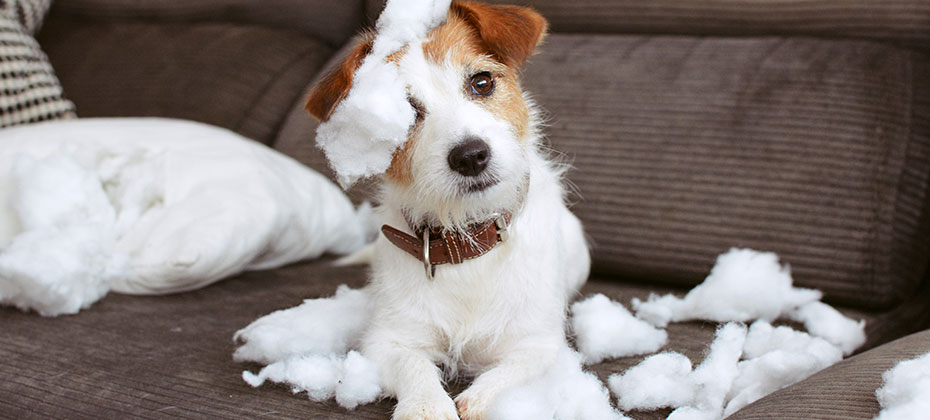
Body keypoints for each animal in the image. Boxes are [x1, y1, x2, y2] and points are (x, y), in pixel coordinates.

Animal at [306, 1, 588, 418]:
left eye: (482, 82)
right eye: (406, 113)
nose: (470, 156)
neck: (466, 239)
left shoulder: (538, 345)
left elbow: (505, 377)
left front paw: (480, 400)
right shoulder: (389, 340)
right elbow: (414, 368)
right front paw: (427, 406)